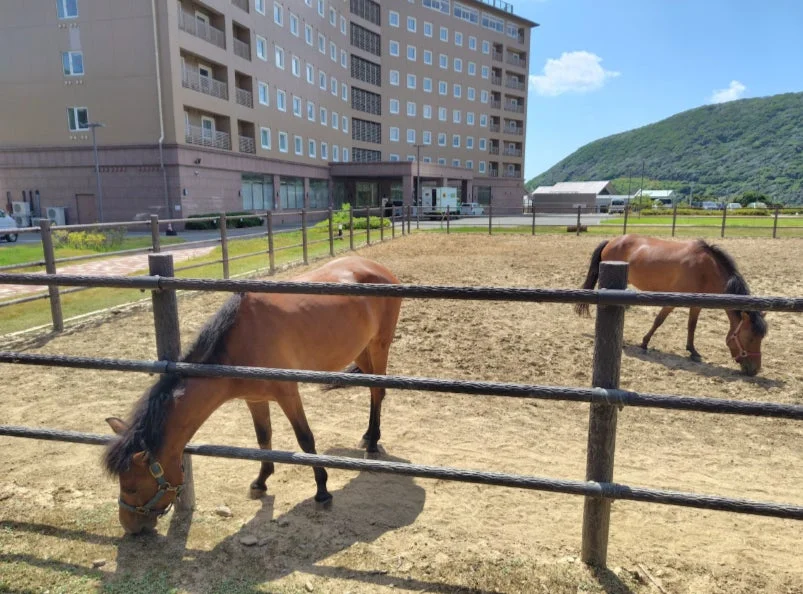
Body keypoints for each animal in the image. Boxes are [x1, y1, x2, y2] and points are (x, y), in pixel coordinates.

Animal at [103, 256, 403, 535]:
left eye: (133, 486)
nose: (129, 526)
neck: (240, 344)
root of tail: (378, 268)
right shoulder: (255, 399)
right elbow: (263, 438)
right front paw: (261, 480)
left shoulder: (288, 394)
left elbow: (305, 439)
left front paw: (322, 491)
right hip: (360, 350)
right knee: (373, 391)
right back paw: (367, 436)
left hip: (379, 346)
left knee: (378, 391)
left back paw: (373, 442)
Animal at [575, 235, 767, 376]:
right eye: (751, 338)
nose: (754, 370)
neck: (705, 269)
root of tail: (611, 241)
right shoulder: (672, 301)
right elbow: (659, 321)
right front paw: (644, 343)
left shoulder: (697, 304)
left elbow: (692, 326)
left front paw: (692, 351)